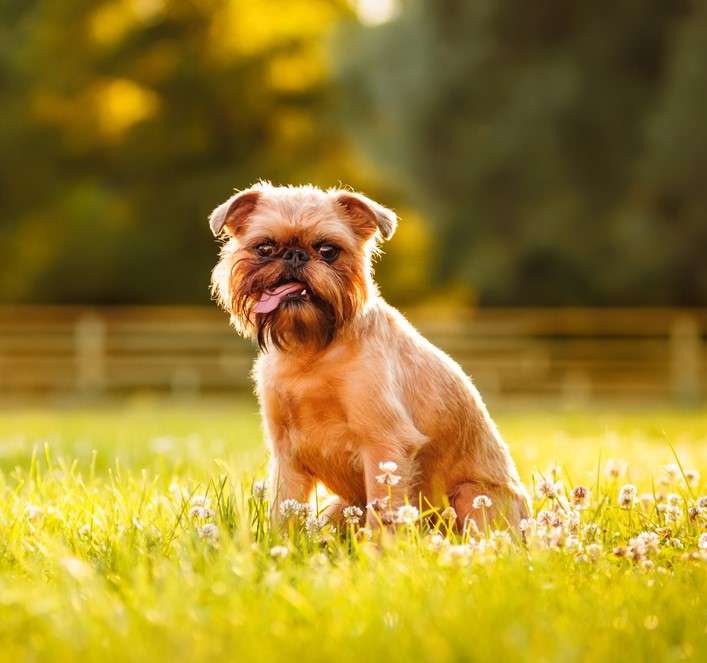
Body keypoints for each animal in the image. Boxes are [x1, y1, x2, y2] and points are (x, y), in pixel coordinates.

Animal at [210, 182, 532, 528]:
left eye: (328, 250)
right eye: (265, 248)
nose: (295, 255)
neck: (312, 349)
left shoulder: (385, 446)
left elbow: (382, 517)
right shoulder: (287, 456)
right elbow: (284, 512)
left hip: (473, 497)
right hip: (342, 507)